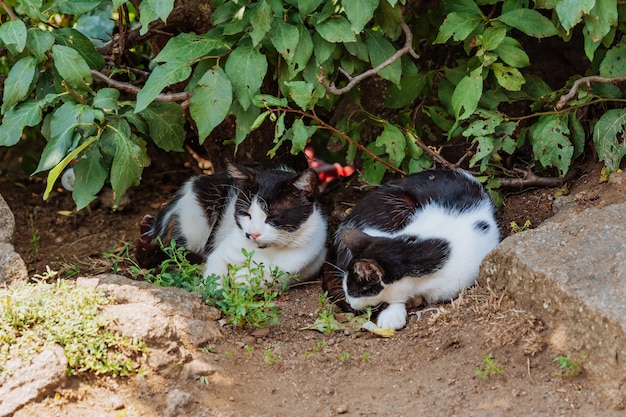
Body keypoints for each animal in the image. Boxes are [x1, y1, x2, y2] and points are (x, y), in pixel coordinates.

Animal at [136, 162, 326, 286]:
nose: (252, 234)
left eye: (272, 218)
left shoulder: (308, 260)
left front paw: (239, 277)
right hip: (193, 222)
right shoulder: (222, 251)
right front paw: (214, 289)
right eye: (246, 214)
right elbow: (215, 268)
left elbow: (260, 276)